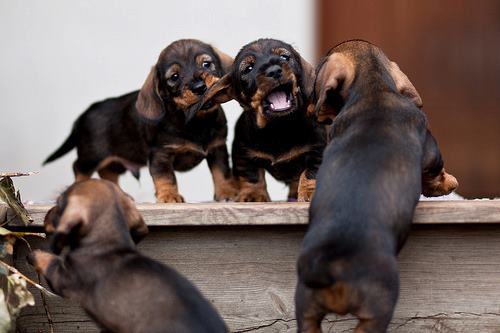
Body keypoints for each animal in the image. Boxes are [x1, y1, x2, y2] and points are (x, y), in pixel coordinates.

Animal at [28, 179, 228, 332]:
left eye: (59, 203)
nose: (46, 215)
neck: (109, 245)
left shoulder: (63, 277)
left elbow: (49, 260)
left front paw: (34, 254)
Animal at [44, 40, 237, 204]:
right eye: (174, 76)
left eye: (207, 64)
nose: (200, 87)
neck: (196, 122)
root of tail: (85, 113)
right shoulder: (160, 155)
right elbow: (166, 177)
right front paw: (169, 196)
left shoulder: (217, 148)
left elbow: (221, 173)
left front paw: (226, 192)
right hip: (91, 155)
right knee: (79, 170)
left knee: (108, 173)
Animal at [199, 38, 328, 201]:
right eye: (248, 68)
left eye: (284, 57)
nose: (274, 71)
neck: (277, 127)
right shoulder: (244, 154)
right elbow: (252, 175)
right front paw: (253, 195)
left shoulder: (317, 150)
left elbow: (310, 173)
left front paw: (310, 192)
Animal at [294, 40, 458, 332]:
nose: (307, 108)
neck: (373, 89)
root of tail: (330, 265)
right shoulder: (430, 151)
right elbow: (435, 173)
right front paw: (448, 183)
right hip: (378, 306)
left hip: (306, 310)